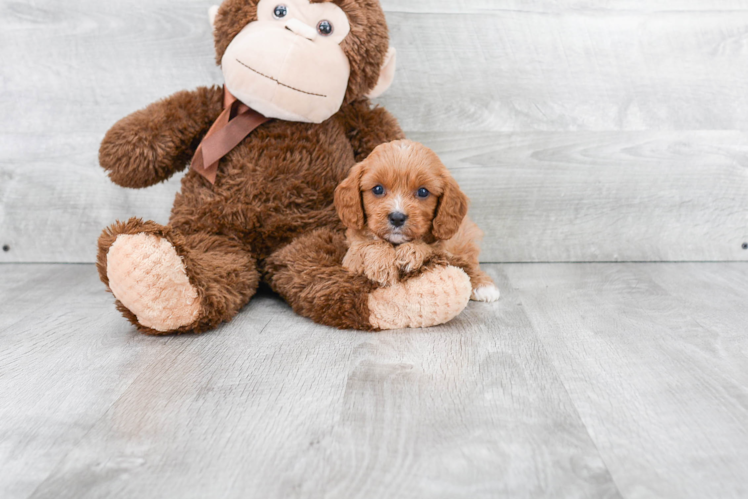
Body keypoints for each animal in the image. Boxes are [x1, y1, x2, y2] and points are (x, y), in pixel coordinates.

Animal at [334, 139, 500, 302]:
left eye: (423, 192)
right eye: (378, 189)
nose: (397, 218)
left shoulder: (443, 246)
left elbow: (431, 248)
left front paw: (410, 251)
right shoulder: (351, 254)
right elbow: (370, 243)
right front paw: (382, 264)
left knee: (466, 260)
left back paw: (483, 285)